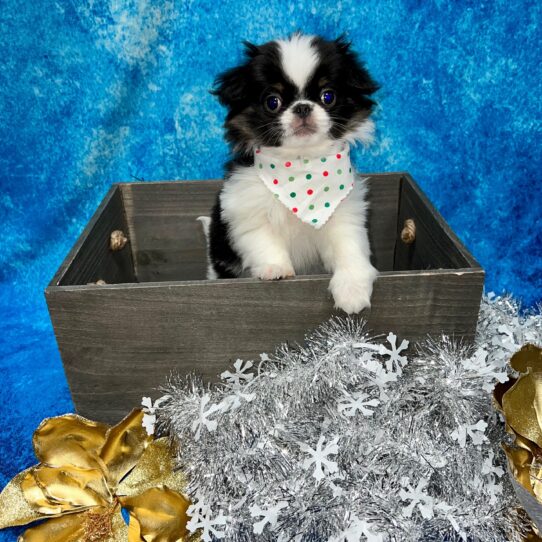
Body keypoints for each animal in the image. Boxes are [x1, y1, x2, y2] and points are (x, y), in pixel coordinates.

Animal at [206, 34, 380, 314]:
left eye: (328, 96)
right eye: (272, 102)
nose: (302, 108)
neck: (301, 165)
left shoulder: (344, 213)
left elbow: (349, 248)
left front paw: (352, 289)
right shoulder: (246, 210)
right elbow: (263, 240)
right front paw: (275, 268)